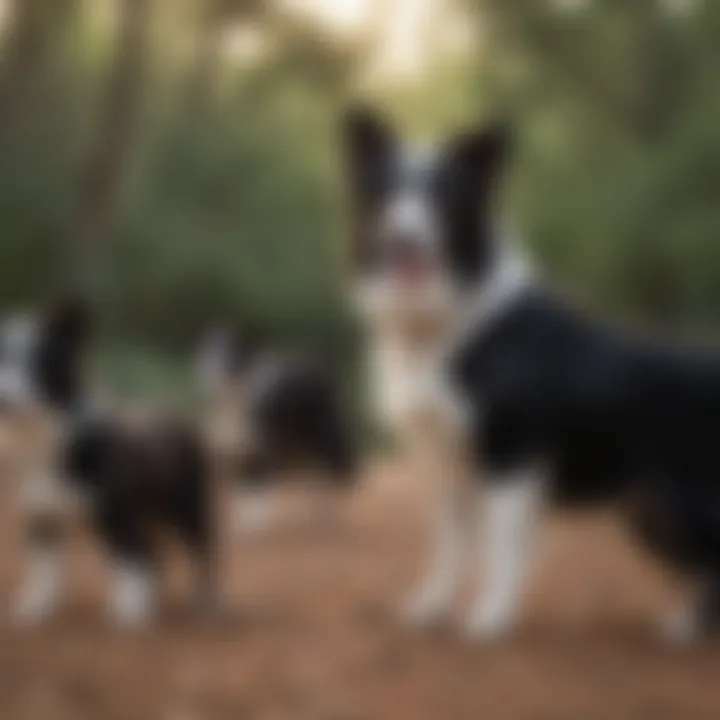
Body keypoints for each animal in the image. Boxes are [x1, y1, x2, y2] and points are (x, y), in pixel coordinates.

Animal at [344, 107, 720, 640]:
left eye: (445, 197)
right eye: (387, 192)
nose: (403, 239)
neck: (451, 319)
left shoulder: (511, 453)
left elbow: (502, 548)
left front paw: (489, 619)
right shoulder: (446, 462)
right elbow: (450, 546)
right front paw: (432, 608)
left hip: (677, 504)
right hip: (650, 510)